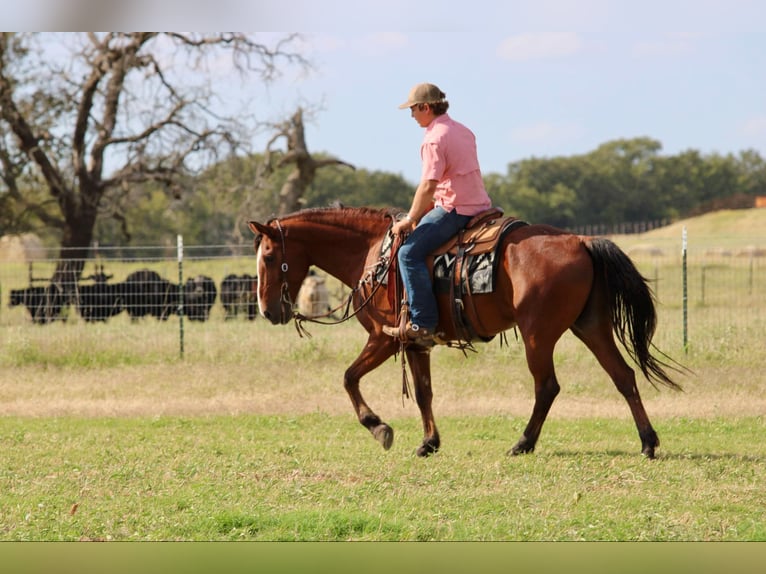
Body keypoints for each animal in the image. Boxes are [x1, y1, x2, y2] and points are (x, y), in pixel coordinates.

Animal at [248, 206, 683, 459]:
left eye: (268, 255)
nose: (267, 311)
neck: (373, 255)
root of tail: (581, 240)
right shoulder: (414, 343)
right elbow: (423, 392)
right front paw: (428, 443)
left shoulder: (384, 338)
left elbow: (348, 377)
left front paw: (379, 427)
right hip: (591, 326)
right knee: (623, 376)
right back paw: (648, 442)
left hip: (538, 335)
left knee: (548, 387)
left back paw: (523, 443)